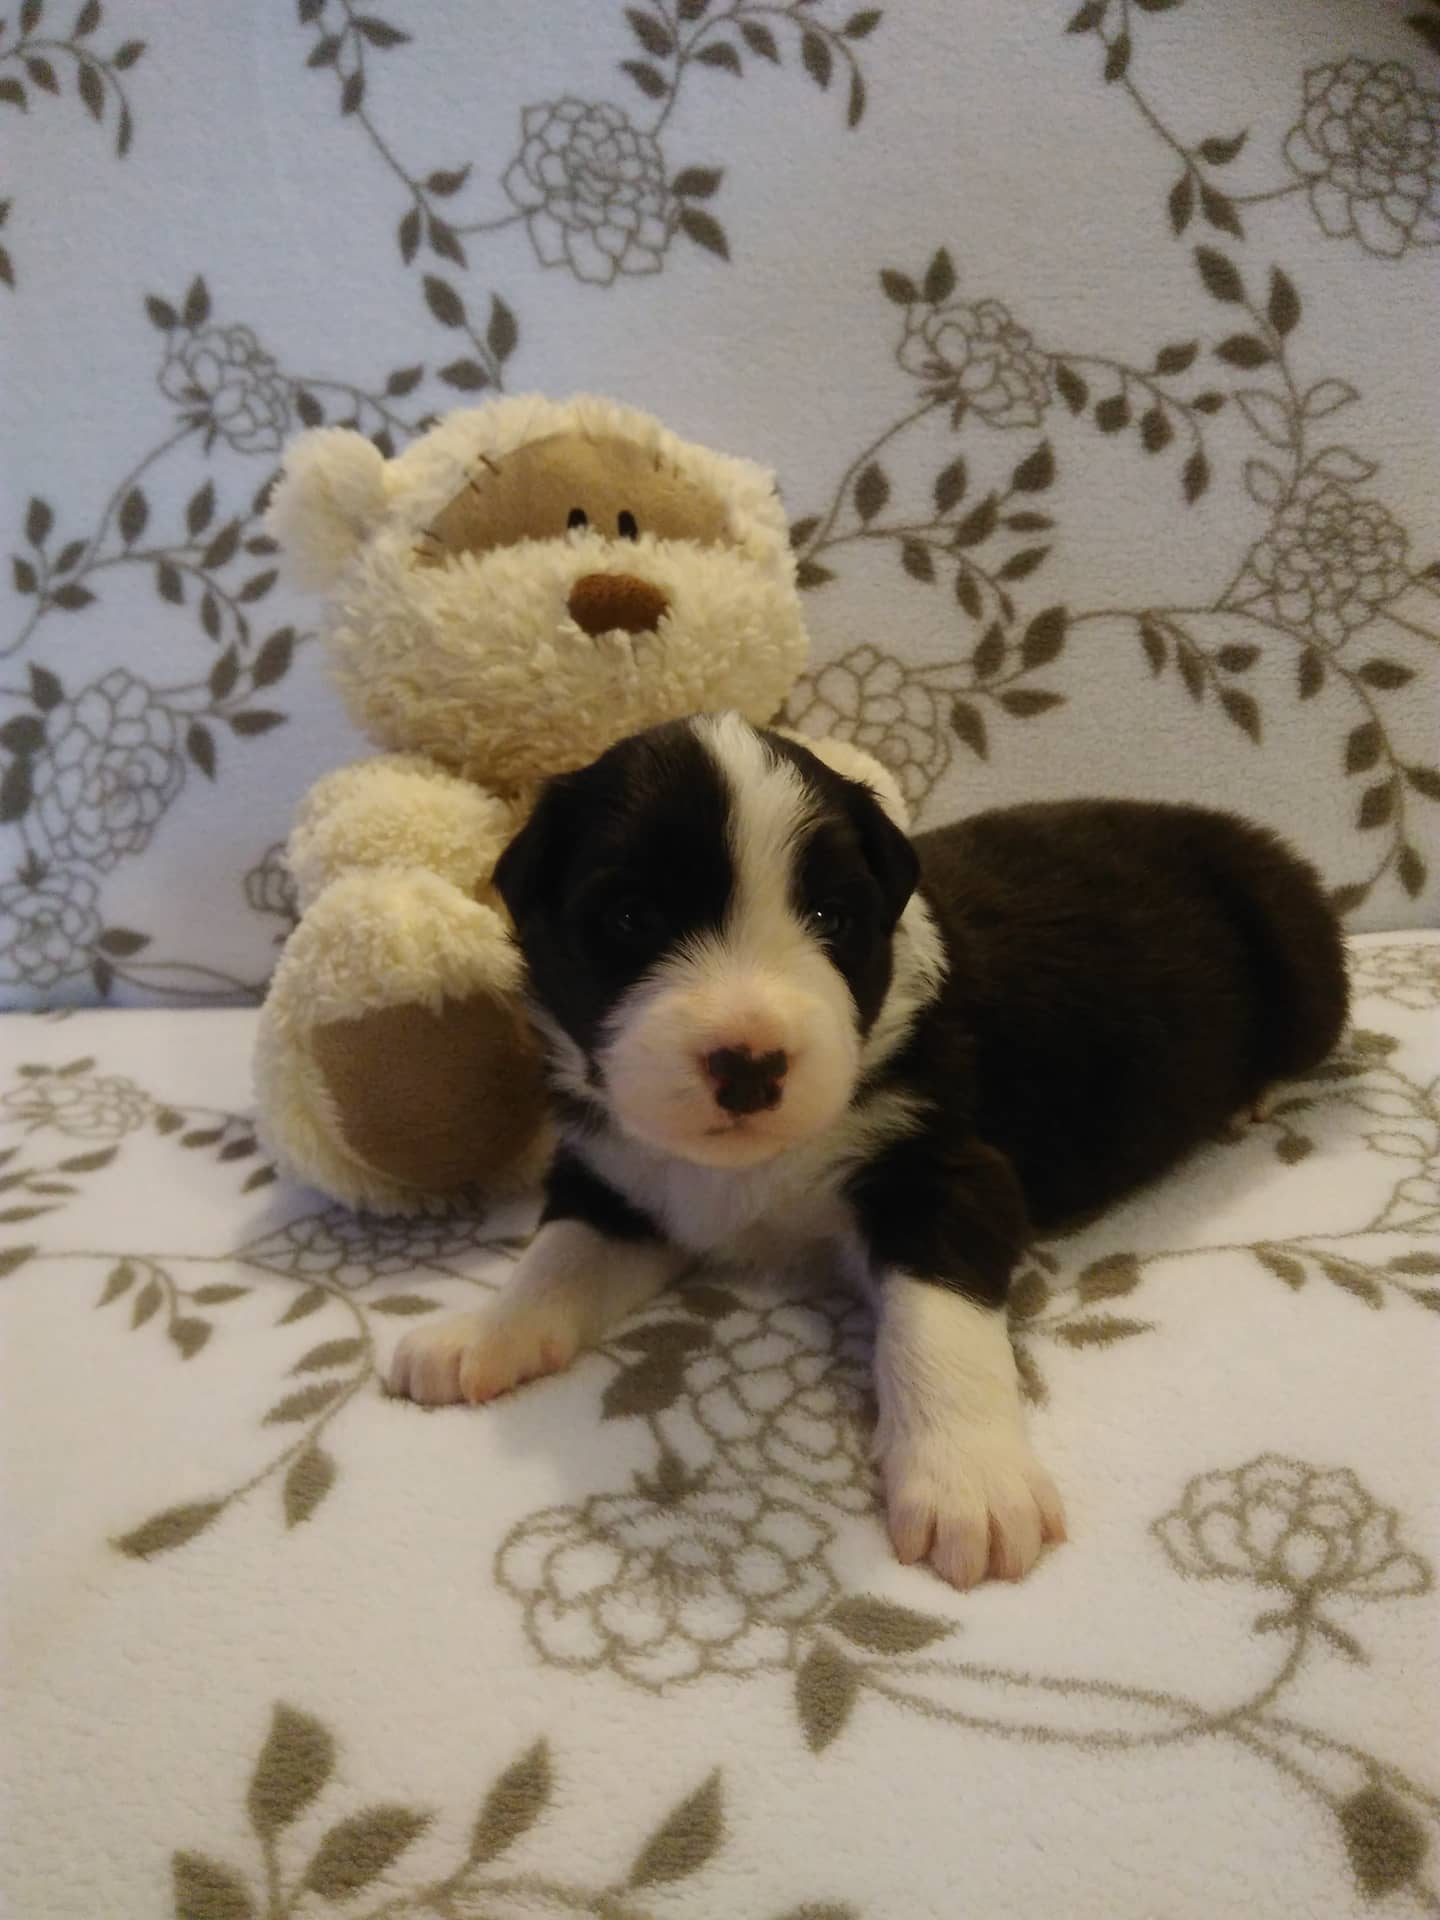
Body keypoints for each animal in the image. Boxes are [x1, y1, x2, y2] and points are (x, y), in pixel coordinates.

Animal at [389, 714, 1349, 1589]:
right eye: (630, 916)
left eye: (831, 915)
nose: (750, 1064)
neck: (748, 1169)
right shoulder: (622, 1174)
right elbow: (555, 1256)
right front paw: (480, 1333)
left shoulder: (943, 1172)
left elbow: (937, 1321)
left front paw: (969, 1486)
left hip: (1302, 958)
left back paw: (1255, 1093)